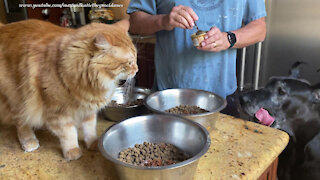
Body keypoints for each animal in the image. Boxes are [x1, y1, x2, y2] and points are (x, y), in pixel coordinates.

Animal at [0, 19, 138, 160]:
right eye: (129, 62)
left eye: (136, 58)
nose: (137, 70)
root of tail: (4, 27)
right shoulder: (58, 112)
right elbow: (68, 133)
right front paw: (72, 151)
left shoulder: (88, 109)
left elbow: (90, 128)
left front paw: (94, 143)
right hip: (18, 99)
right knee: (21, 123)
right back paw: (29, 141)